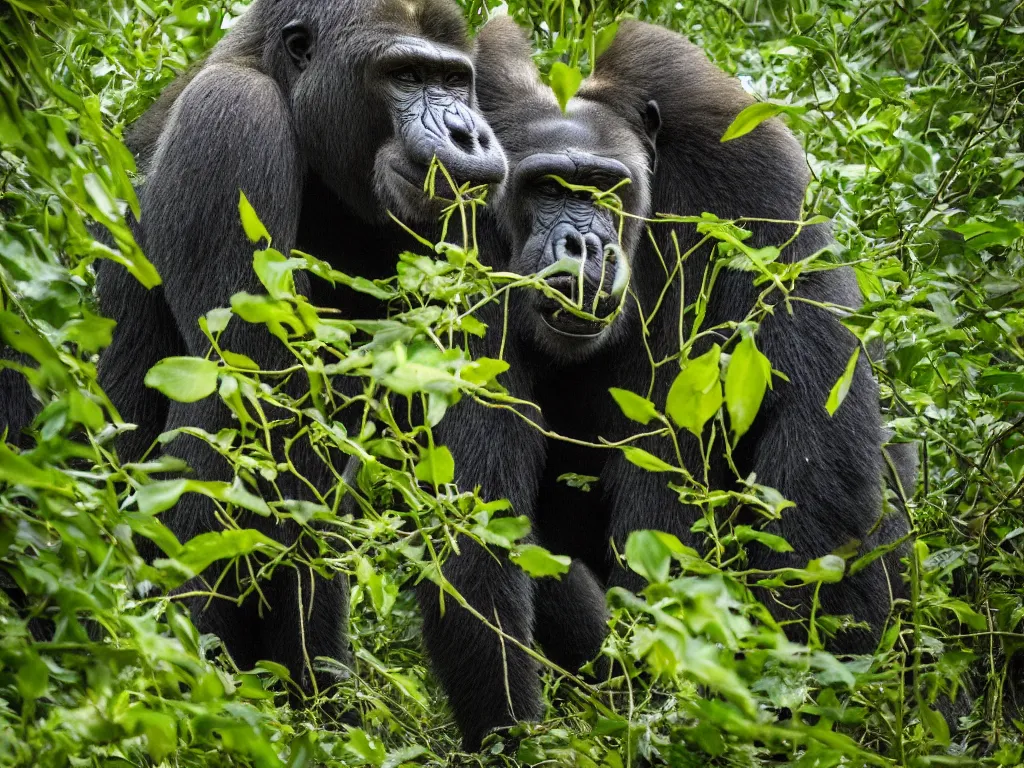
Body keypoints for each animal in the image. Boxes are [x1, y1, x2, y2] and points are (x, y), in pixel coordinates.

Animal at [419, 16, 917, 753]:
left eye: (602, 189)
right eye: (548, 188)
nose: (581, 244)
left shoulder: (752, 170)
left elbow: (810, 423)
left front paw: (794, 698)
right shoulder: (445, 221)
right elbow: (477, 493)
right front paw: (514, 735)